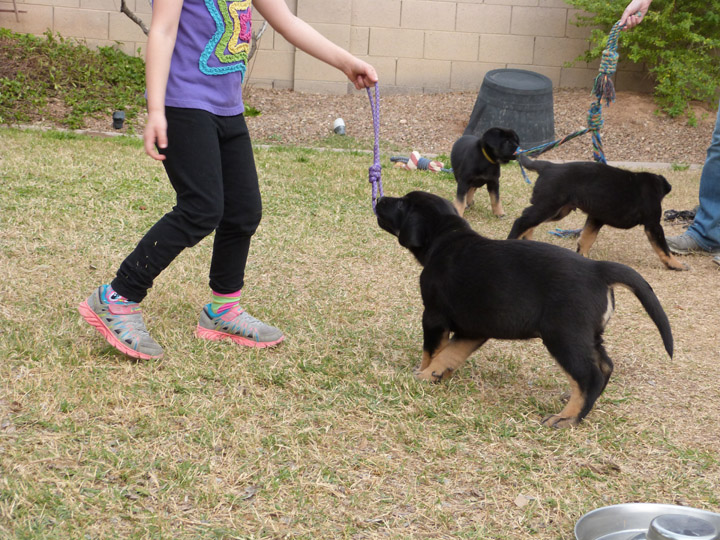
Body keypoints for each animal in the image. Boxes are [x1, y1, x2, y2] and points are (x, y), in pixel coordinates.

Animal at [376, 192, 676, 428]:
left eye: (402, 204)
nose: (379, 199)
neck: (446, 238)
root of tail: (598, 269)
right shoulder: (474, 327)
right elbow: (451, 354)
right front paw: (434, 375)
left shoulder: (434, 316)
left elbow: (432, 351)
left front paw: (422, 373)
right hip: (587, 334)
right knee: (604, 366)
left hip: (563, 335)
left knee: (589, 375)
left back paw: (567, 418)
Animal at [506, 154, 688, 270]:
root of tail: (547, 166)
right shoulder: (653, 224)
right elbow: (663, 248)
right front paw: (676, 265)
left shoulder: (596, 218)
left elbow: (586, 238)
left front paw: (583, 257)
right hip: (549, 205)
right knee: (521, 221)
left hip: (557, 211)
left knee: (528, 221)